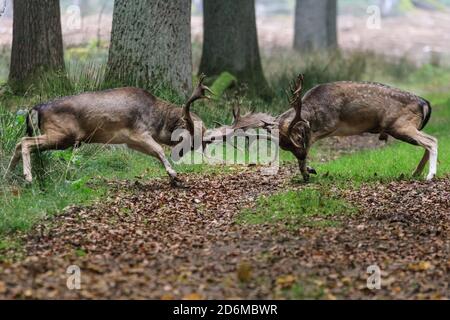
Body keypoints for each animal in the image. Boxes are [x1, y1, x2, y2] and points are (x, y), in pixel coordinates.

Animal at [4, 74, 213, 186]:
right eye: (190, 137)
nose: (181, 155)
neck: (156, 121)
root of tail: (36, 108)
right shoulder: (138, 131)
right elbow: (159, 149)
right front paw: (173, 173)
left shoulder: (131, 141)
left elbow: (155, 153)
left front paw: (172, 175)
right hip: (61, 134)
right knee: (24, 141)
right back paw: (28, 177)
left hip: (59, 137)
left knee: (20, 143)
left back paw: (7, 176)